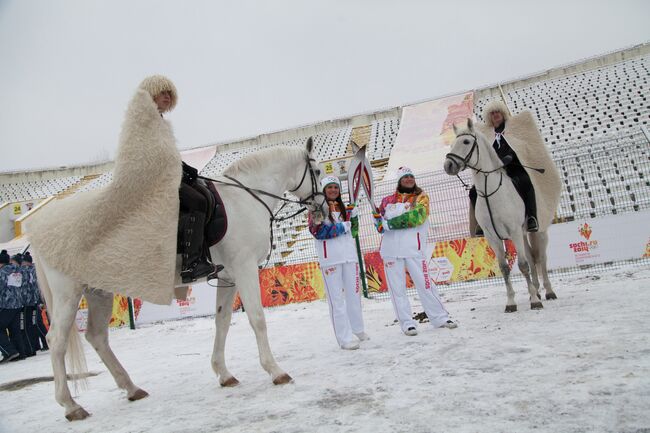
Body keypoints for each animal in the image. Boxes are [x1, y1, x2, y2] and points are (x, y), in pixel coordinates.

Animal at [33, 139, 322, 418]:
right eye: (318, 172)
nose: (320, 207)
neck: (244, 197)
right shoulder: (245, 268)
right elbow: (257, 319)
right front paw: (275, 370)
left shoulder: (228, 276)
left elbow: (222, 321)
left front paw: (223, 373)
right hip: (68, 294)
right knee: (56, 341)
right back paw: (71, 405)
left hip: (98, 291)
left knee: (97, 337)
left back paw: (131, 388)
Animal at [442, 120, 556, 312]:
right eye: (451, 144)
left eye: (466, 141)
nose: (448, 166)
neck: (491, 193)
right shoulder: (492, 237)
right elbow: (504, 268)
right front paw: (511, 302)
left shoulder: (514, 232)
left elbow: (523, 266)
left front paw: (534, 301)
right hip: (522, 235)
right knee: (531, 258)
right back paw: (535, 290)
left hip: (537, 231)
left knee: (541, 258)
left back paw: (548, 292)